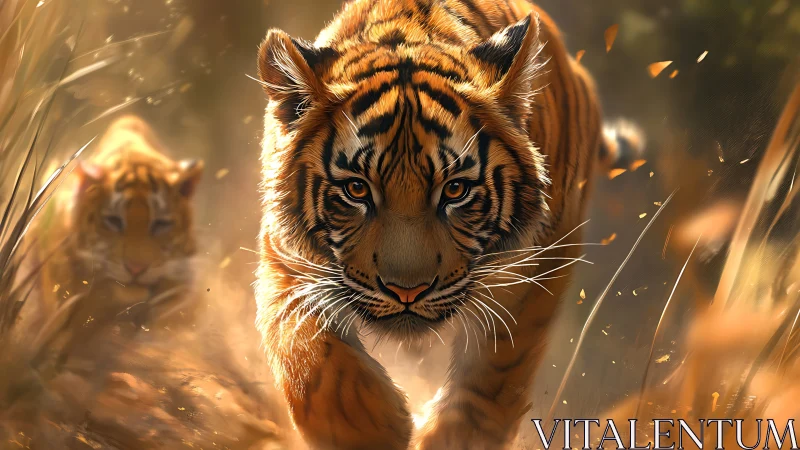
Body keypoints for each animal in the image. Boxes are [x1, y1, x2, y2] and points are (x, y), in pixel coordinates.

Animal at [254, 0, 643, 449]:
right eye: (356, 189)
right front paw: (370, 428)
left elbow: (494, 371)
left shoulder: (533, 270)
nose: (407, 292)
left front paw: (452, 436)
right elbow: (307, 354)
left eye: (455, 189)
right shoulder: (286, 260)